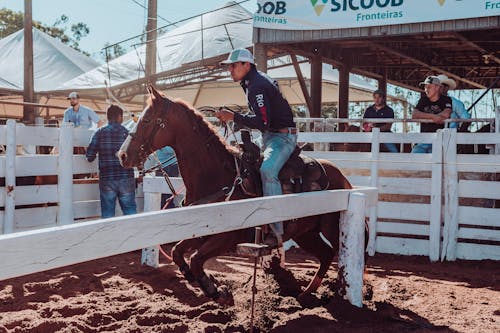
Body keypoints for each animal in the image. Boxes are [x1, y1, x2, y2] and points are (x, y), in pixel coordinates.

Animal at [118, 85, 352, 304]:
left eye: (147, 120)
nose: (122, 155)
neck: (217, 177)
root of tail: (341, 177)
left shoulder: (228, 237)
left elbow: (195, 259)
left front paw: (216, 292)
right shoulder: (200, 233)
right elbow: (177, 252)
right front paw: (198, 280)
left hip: (332, 227)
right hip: (305, 233)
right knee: (325, 254)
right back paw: (305, 294)